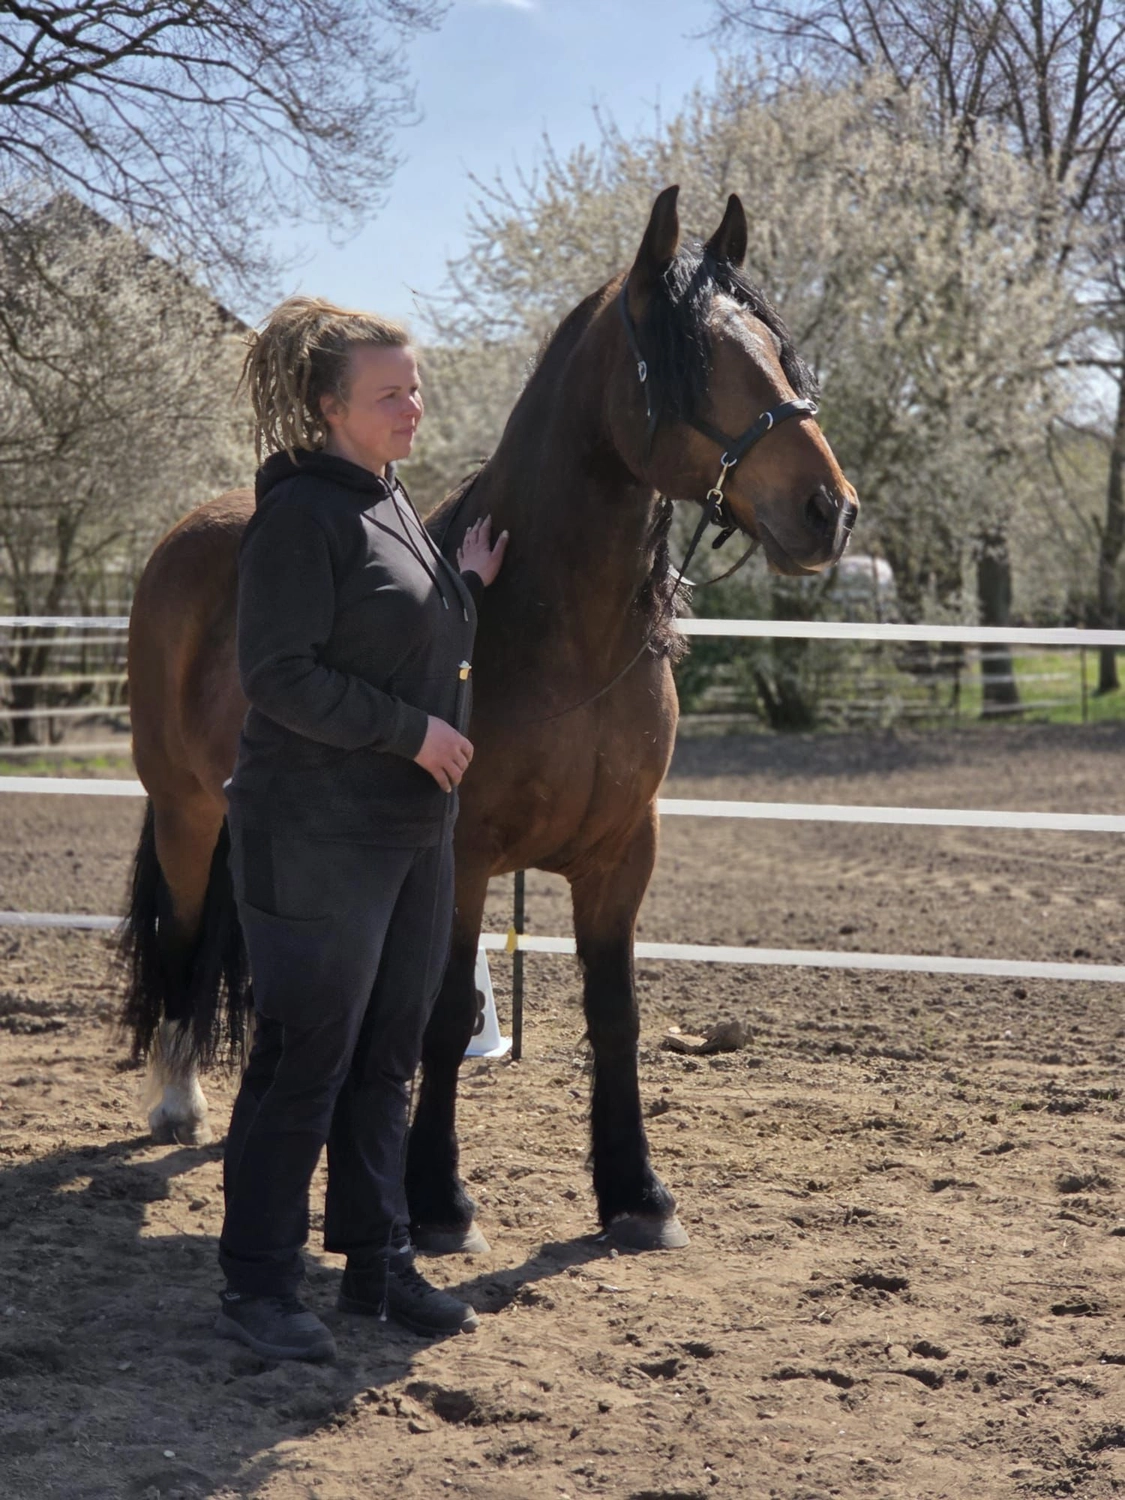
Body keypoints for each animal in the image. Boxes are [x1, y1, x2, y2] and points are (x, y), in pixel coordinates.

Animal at [122, 185, 858, 1253]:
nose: (826, 510)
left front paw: (636, 1194)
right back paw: (179, 1100)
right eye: (691, 360)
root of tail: (185, 537)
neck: (559, 634)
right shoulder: (459, 855)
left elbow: (615, 1015)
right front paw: (436, 1201)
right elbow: (436, 1021)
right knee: (184, 938)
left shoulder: (621, 857)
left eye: (776, 348)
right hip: (186, 812)